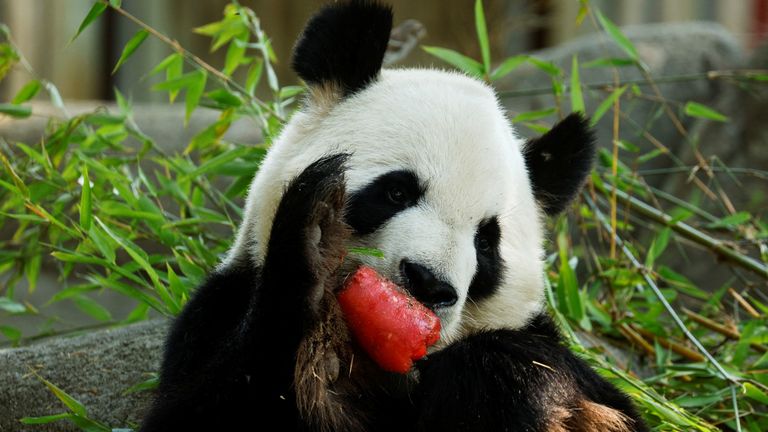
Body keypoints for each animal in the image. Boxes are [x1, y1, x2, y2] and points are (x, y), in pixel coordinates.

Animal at [140, 0, 648, 432]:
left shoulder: (555, 354)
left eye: (486, 242)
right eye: (397, 191)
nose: (428, 283)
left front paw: (496, 378)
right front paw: (313, 242)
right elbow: (204, 406)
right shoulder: (218, 311)